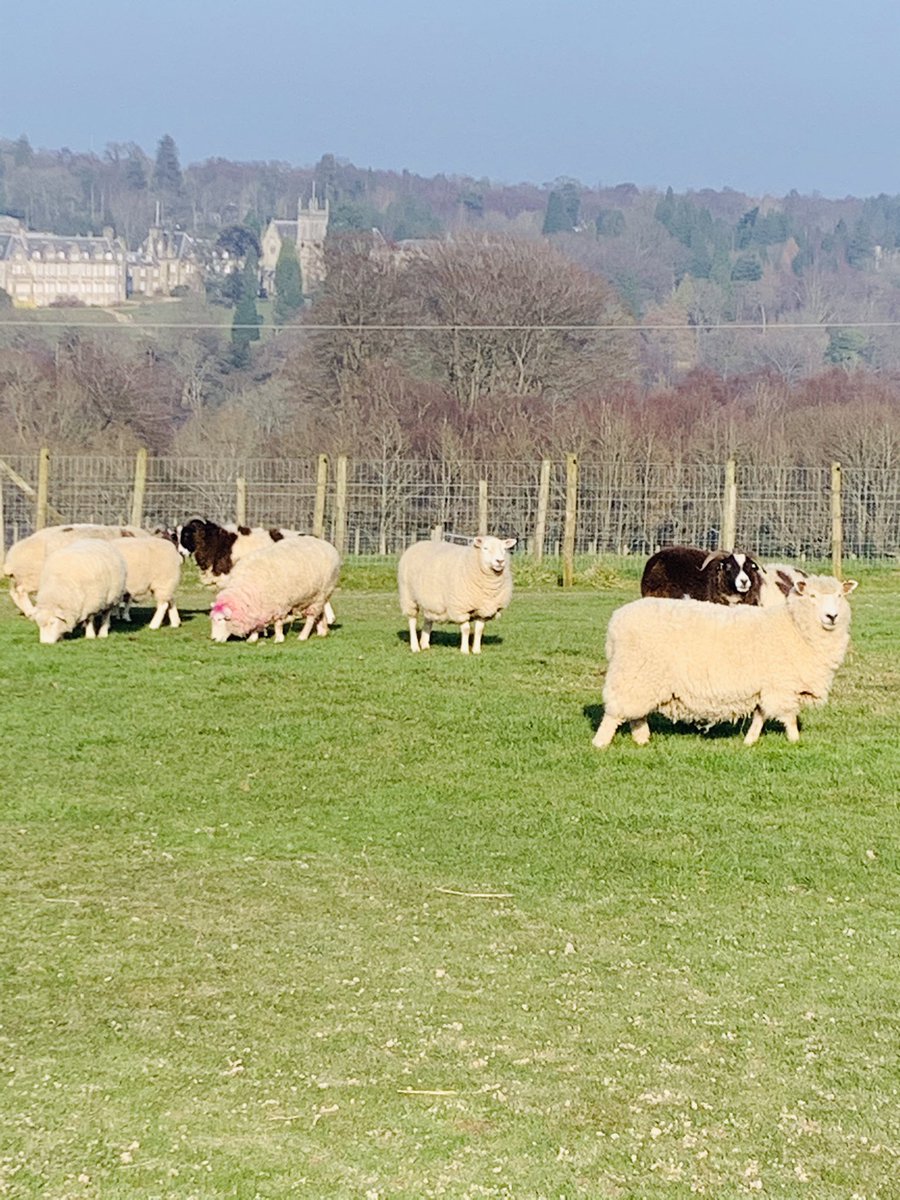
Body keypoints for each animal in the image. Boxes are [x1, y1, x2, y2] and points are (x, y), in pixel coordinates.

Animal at [2, 523, 144, 619]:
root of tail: (11, 557)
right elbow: (125, 599)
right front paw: (123, 615)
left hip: (21, 577)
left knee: (14, 593)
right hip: (31, 577)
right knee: (21, 592)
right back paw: (31, 612)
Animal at [207, 537, 340, 648]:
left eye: (220, 620)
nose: (213, 639)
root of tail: (327, 545)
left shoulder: (278, 604)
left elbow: (278, 623)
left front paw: (279, 638)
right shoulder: (259, 607)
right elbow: (258, 623)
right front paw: (253, 638)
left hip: (321, 593)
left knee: (311, 617)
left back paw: (303, 636)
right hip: (317, 596)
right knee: (320, 613)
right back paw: (322, 631)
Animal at [592, 566, 859, 744]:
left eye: (839, 596)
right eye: (812, 597)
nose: (832, 616)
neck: (794, 626)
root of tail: (616, 622)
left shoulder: (766, 684)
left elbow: (761, 715)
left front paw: (750, 741)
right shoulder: (782, 684)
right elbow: (789, 716)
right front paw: (795, 741)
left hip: (643, 678)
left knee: (636, 715)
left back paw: (642, 740)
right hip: (633, 672)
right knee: (615, 712)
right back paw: (600, 743)